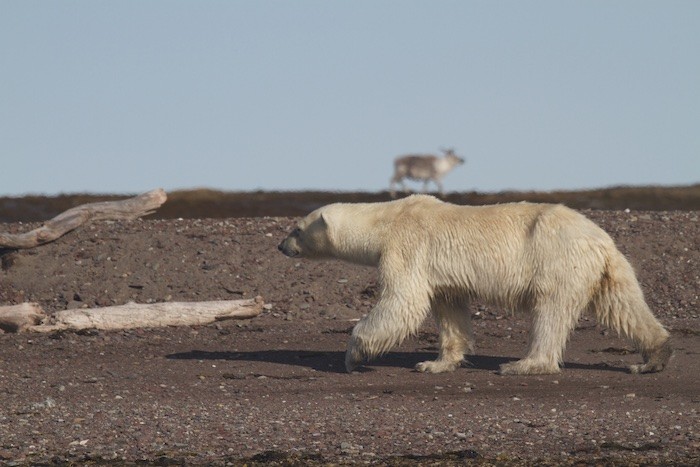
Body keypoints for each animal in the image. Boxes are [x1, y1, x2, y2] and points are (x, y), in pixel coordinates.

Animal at [278, 195, 672, 376]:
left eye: (296, 228)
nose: (281, 246)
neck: (386, 219)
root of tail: (601, 240)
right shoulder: (440, 273)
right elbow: (448, 307)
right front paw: (435, 363)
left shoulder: (406, 246)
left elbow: (403, 301)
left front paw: (353, 354)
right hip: (606, 269)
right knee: (624, 306)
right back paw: (654, 357)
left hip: (557, 259)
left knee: (550, 311)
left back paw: (523, 364)